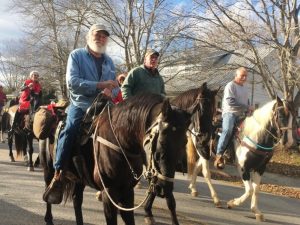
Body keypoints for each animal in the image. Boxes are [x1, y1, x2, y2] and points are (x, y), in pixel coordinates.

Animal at [39, 93, 192, 225]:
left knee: (77, 201)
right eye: (161, 140)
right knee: (49, 188)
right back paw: (48, 216)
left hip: (79, 178)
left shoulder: (127, 191)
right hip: (48, 169)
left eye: (184, 142)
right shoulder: (109, 192)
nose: (164, 187)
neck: (120, 139)